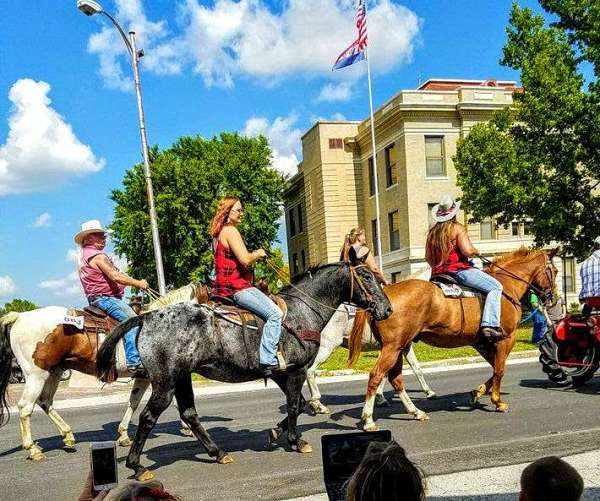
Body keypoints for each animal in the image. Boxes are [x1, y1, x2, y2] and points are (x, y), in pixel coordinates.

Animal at [96, 260, 392, 478]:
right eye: (366, 277)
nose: (388, 309)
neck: (302, 311)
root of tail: (146, 317)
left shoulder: (281, 373)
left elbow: (299, 404)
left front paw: (276, 433)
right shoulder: (296, 371)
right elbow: (294, 406)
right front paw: (295, 440)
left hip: (181, 378)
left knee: (189, 414)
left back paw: (218, 453)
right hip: (165, 382)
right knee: (148, 417)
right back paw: (137, 465)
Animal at [346, 247, 556, 430]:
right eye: (554, 270)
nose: (553, 298)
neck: (507, 286)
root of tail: (382, 296)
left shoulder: (482, 342)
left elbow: (495, 368)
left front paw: (477, 393)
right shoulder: (506, 339)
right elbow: (499, 370)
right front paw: (497, 401)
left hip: (399, 347)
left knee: (395, 379)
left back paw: (416, 411)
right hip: (393, 347)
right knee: (376, 376)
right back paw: (368, 419)